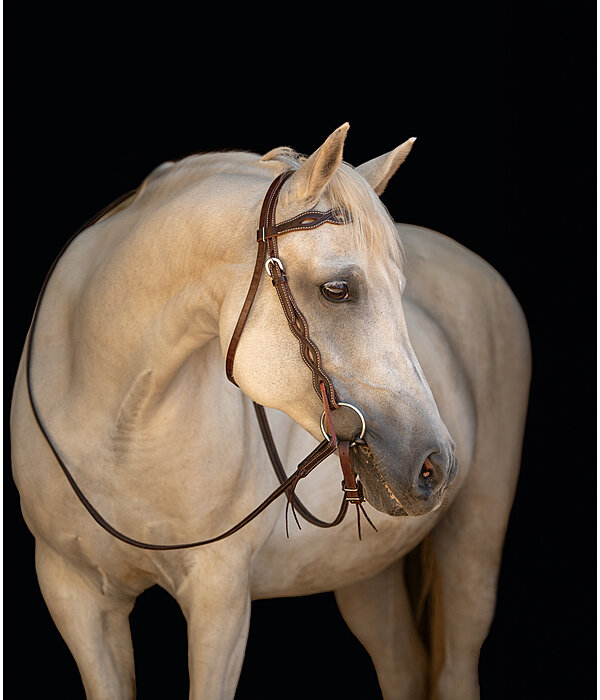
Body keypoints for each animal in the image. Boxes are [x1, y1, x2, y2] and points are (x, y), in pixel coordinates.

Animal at [10, 126, 528, 700]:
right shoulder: (75, 595)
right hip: (361, 572)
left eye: (400, 291)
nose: (436, 465)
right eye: (337, 290)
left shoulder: (220, 596)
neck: (119, 430)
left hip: (474, 543)